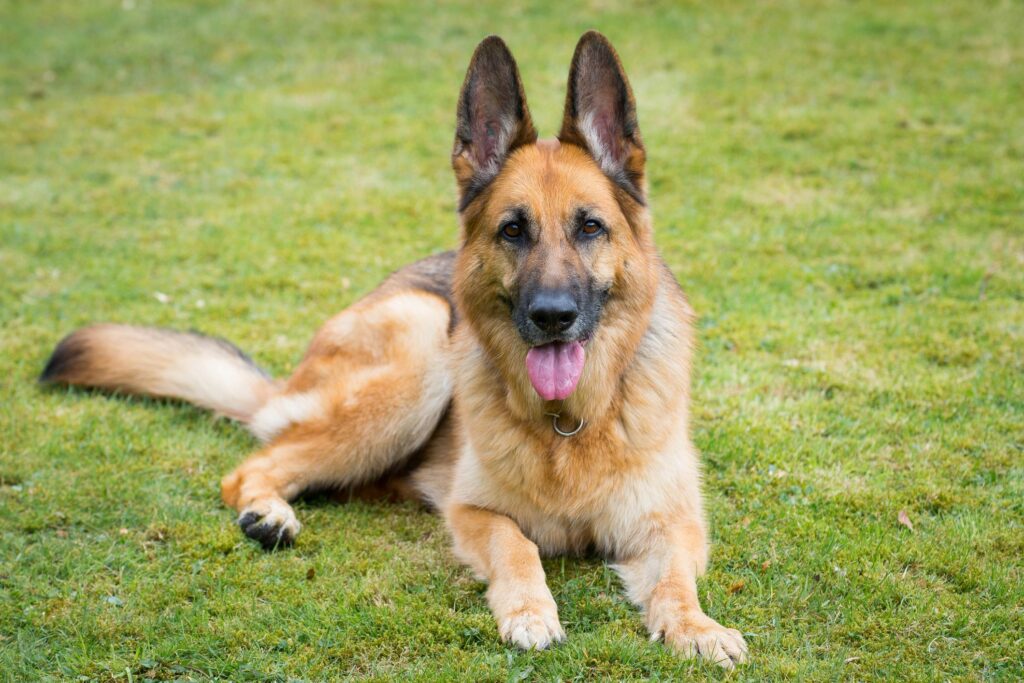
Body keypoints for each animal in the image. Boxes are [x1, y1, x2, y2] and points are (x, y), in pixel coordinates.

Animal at [41, 33, 745, 667]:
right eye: (513, 230)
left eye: (591, 226)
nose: (551, 317)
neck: (568, 424)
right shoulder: (473, 511)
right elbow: (517, 545)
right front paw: (528, 611)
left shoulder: (672, 524)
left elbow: (676, 582)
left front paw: (696, 628)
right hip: (420, 348)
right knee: (251, 467)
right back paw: (268, 513)